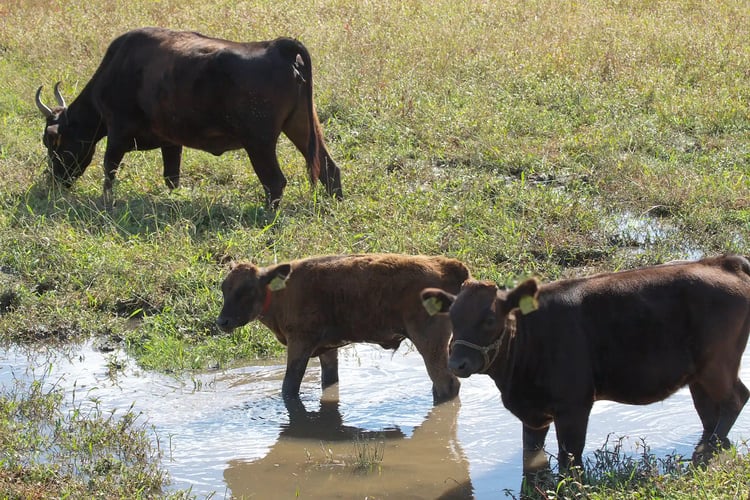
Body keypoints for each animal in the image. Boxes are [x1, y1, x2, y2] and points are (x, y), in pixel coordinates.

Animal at [35, 27, 342, 208]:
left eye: (52, 141)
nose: (52, 181)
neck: (117, 67)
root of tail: (278, 47)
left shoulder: (117, 133)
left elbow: (109, 170)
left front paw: (106, 201)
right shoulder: (171, 142)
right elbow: (172, 177)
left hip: (260, 144)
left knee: (275, 182)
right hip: (302, 127)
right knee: (329, 169)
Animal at [215, 253, 470, 404]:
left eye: (246, 290)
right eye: (224, 288)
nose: (222, 322)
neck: (283, 292)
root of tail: (447, 265)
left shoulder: (299, 343)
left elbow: (289, 386)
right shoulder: (327, 348)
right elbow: (329, 381)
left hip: (429, 342)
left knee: (447, 384)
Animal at [421, 255, 750, 475]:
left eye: (490, 319)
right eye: (453, 317)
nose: (457, 363)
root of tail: (723, 262)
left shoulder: (574, 406)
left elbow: (570, 462)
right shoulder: (534, 414)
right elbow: (532, 459)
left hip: (718, 366)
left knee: (735, 398)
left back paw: (710, 450)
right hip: (699, 374)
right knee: (709, 412)